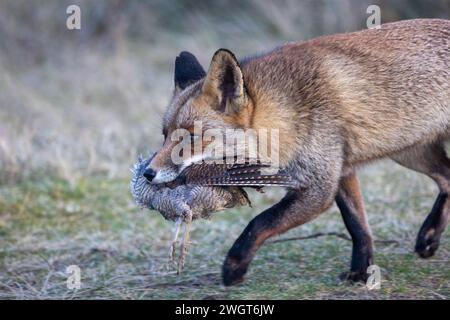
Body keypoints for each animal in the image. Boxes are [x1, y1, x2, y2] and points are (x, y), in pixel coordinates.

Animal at [145, 19, 450, 284]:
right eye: (165, 135)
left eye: (191, 137)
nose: (148, 173)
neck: (287, 113)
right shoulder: (340, 171)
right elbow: (357, 227)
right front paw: (361, 273)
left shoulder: (319, 185)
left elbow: (260, 222)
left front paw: (234, 267)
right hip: (410, 152)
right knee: (447, 179)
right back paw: (429, 237)